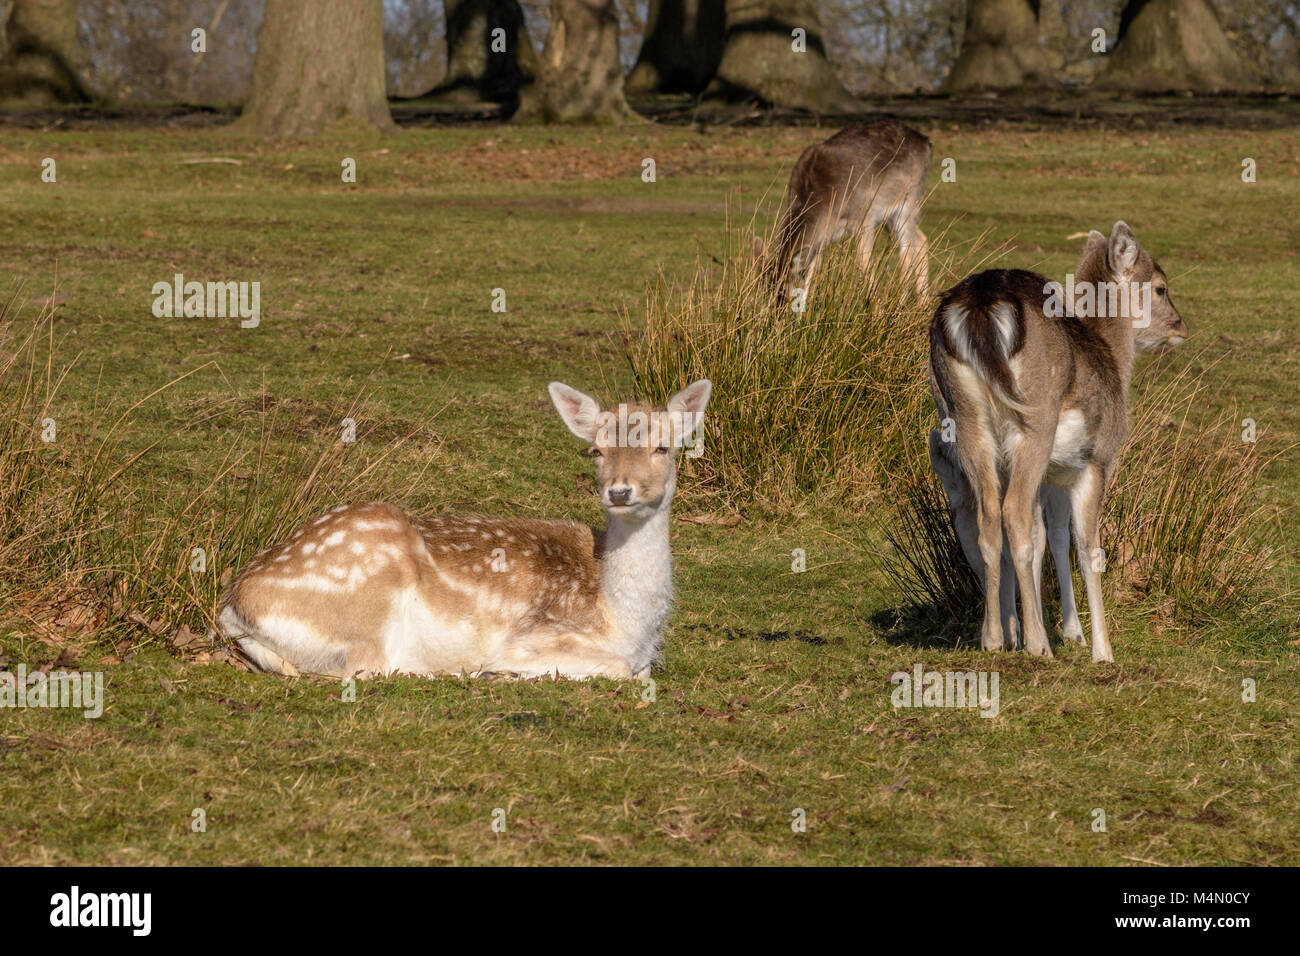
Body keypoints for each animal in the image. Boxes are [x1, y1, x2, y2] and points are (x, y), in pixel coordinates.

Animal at [218, 377, 717, 686]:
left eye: (663, 447)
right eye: (595, 450)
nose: (619, 491)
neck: (626, 621)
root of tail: (232, 607)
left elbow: (642, 669)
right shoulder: (534, 636)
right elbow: (621, 668)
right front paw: (500, 672)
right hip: (366, 609)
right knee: (367, 668)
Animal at [759, 120, 935, 299]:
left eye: (783, 295)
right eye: (764, 293)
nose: (778, 308)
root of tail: (927, 143)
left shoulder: (865, 217)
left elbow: (865, 265)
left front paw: (874, 305)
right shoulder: (821, 240)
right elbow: (810, 274)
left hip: (909, 199)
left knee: (906, 253)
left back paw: (900, 303)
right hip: (891, 216)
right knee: (921, 239)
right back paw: (923, 301)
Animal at [925, 222, 1190, 665]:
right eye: (1160, 287)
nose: (1180, 328)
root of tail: (979, 306)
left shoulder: (1052, 476)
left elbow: (1049, 540)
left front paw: (1065, 633)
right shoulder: (1096, 461)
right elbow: (1086, 549)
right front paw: (1101, 650)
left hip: (965, 419)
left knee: (986, 519)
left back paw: (995, 639)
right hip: (1035, 419)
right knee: (1012, 512)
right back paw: (1036, 646)